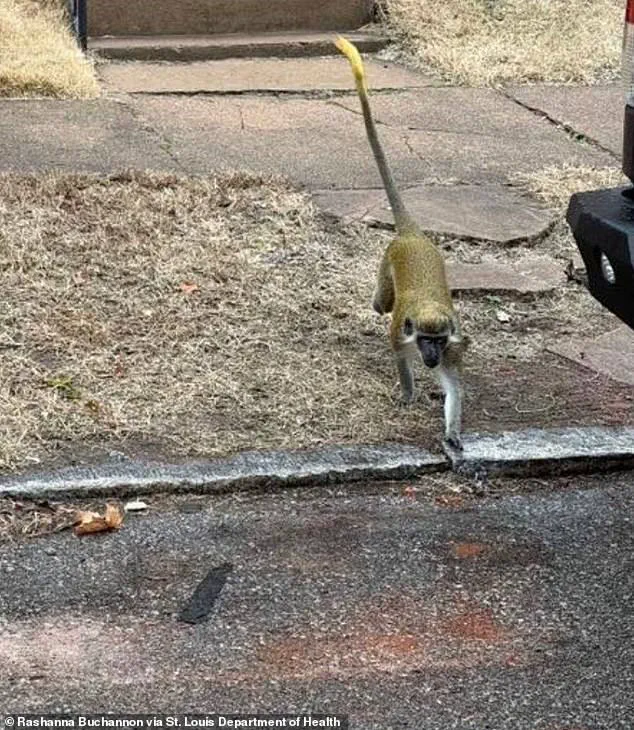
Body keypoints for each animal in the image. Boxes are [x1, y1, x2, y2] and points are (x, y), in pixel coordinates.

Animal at [335, 36, 468, 450]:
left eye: (437, 341)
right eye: (425, 339)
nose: (430, 356)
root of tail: (412, 235)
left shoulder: (453, 346)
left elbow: (453, 386)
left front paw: (452, 432)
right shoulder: (401, 336)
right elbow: (400, 359)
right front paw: (409, 394)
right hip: (386, 265)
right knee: (381, 303)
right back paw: (374, 305)